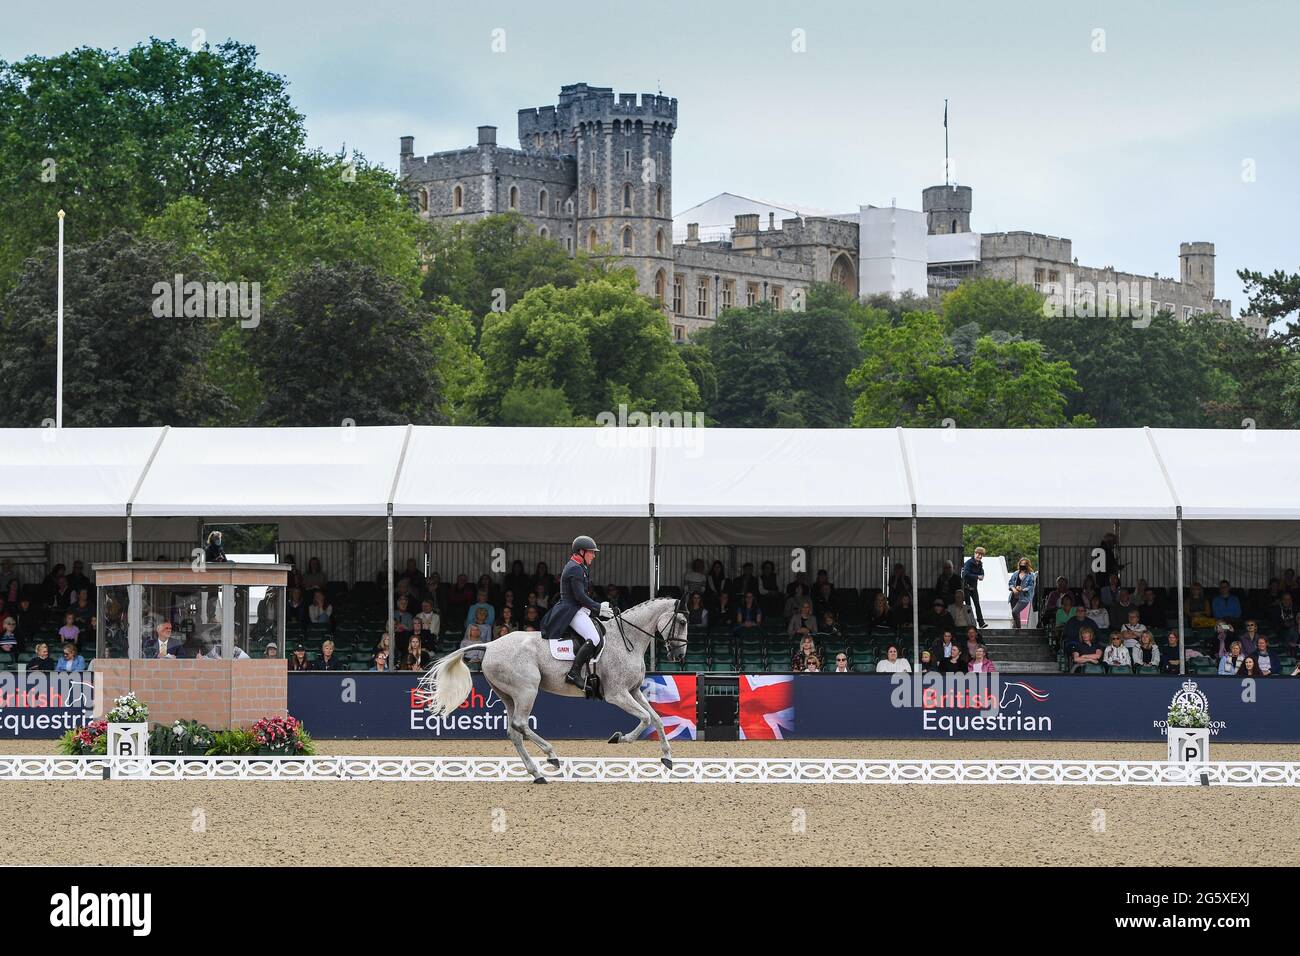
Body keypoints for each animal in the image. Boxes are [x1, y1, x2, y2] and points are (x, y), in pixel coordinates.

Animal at [421, 598, 691, 785]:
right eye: (682, 622)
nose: (679, 656)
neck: (628, 640)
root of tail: (490, 645)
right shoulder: (617, 694)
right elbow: (645, 718)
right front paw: (619, 738)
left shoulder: (634, 691)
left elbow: (656, 718)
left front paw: (667, 758)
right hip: (526, 690)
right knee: (521, 724)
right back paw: (551, 756)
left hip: (508, 695)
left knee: (514, 732)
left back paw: (537, 773)